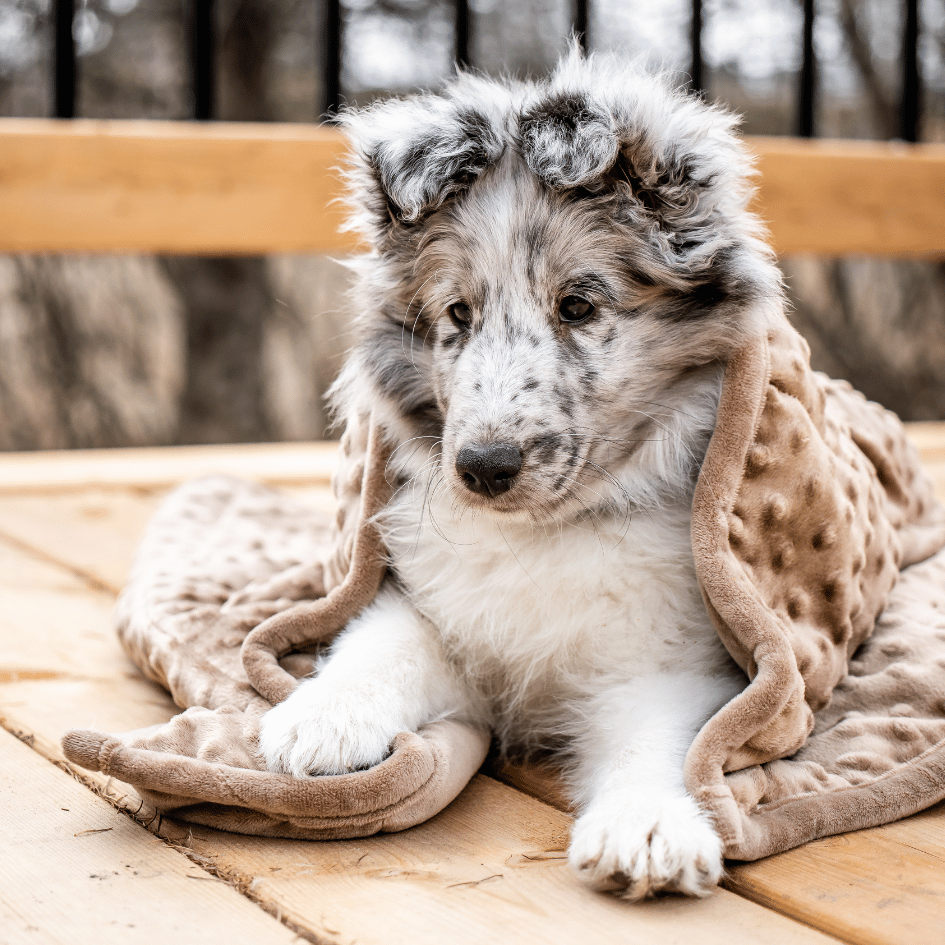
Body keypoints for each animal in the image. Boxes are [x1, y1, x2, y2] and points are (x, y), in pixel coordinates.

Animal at [258, 46, 780, 900]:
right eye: (457, 315)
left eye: (577, 307)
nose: (482, 469)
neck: (542, 534)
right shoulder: (436, 602)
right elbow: (385, 637)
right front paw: (321, 714)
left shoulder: (669, 661)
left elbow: (664, 741)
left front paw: (646, 826)